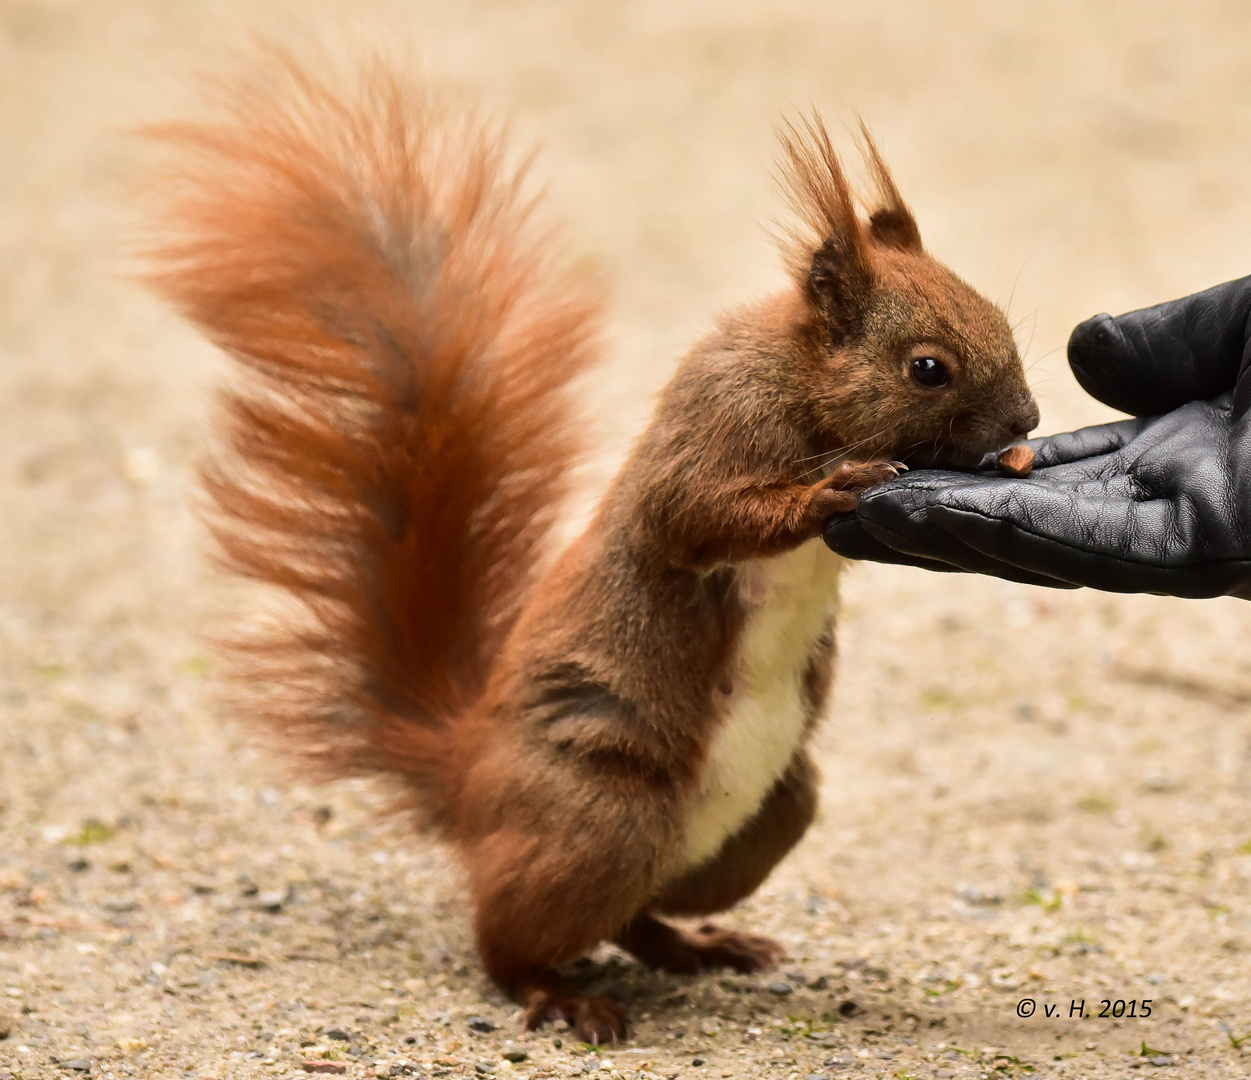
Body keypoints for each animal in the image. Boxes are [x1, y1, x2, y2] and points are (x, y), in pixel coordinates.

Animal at [143, 55, 1035, 1041]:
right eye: (927, 368)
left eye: (999, 319)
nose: (1026, 422)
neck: (803, 387)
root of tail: (467, 779)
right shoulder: (713, 430)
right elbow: (689, 519)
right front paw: (829, 492)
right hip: (599, 817)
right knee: (507, 942)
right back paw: (560, 994)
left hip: (768, 815)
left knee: (637, 917)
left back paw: (704, 946)